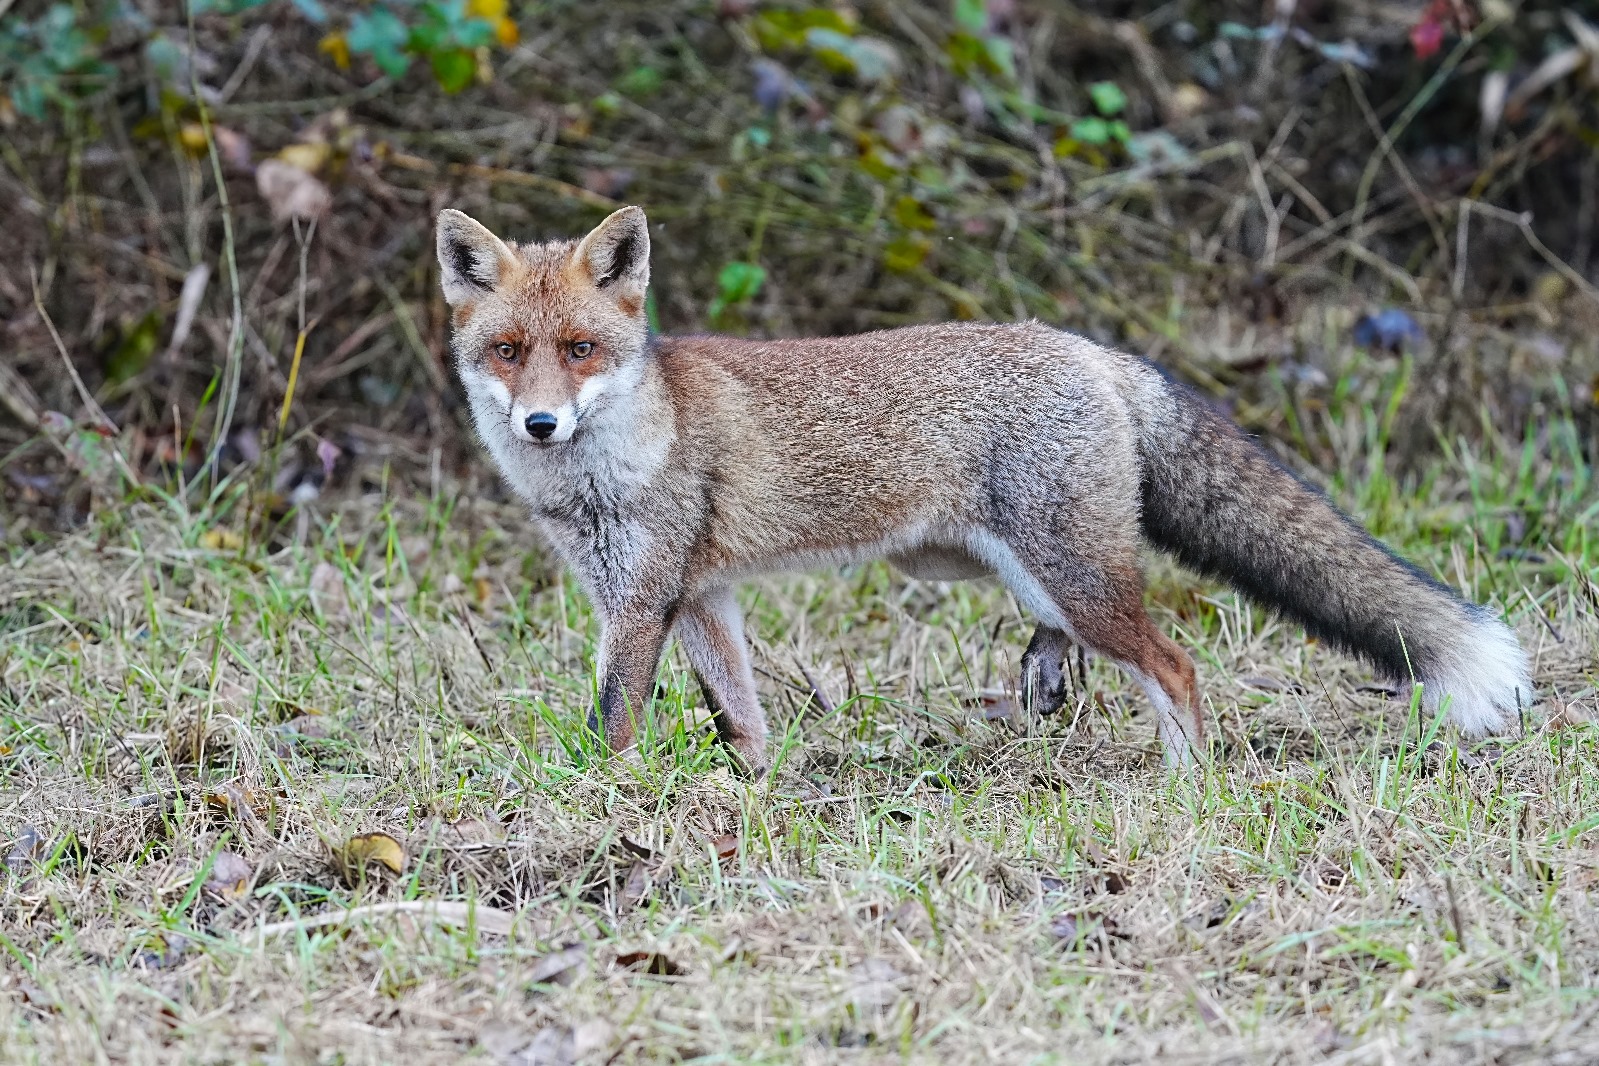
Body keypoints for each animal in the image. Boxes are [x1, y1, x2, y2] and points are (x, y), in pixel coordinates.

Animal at [431, 204, 1528, 770]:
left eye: (580, 350)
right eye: (509, 352)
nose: (539, 423)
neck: (602, 466)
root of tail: (1086, 347)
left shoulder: (641, 600)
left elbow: (611, 724)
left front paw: (608, 805)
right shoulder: (697, 597)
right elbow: (741, 719)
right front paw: (753, 797)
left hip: (1064, 571)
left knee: (1174, 664)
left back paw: (1190, 787)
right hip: (993, 566)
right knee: (1078, 639)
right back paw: (1046, 680)